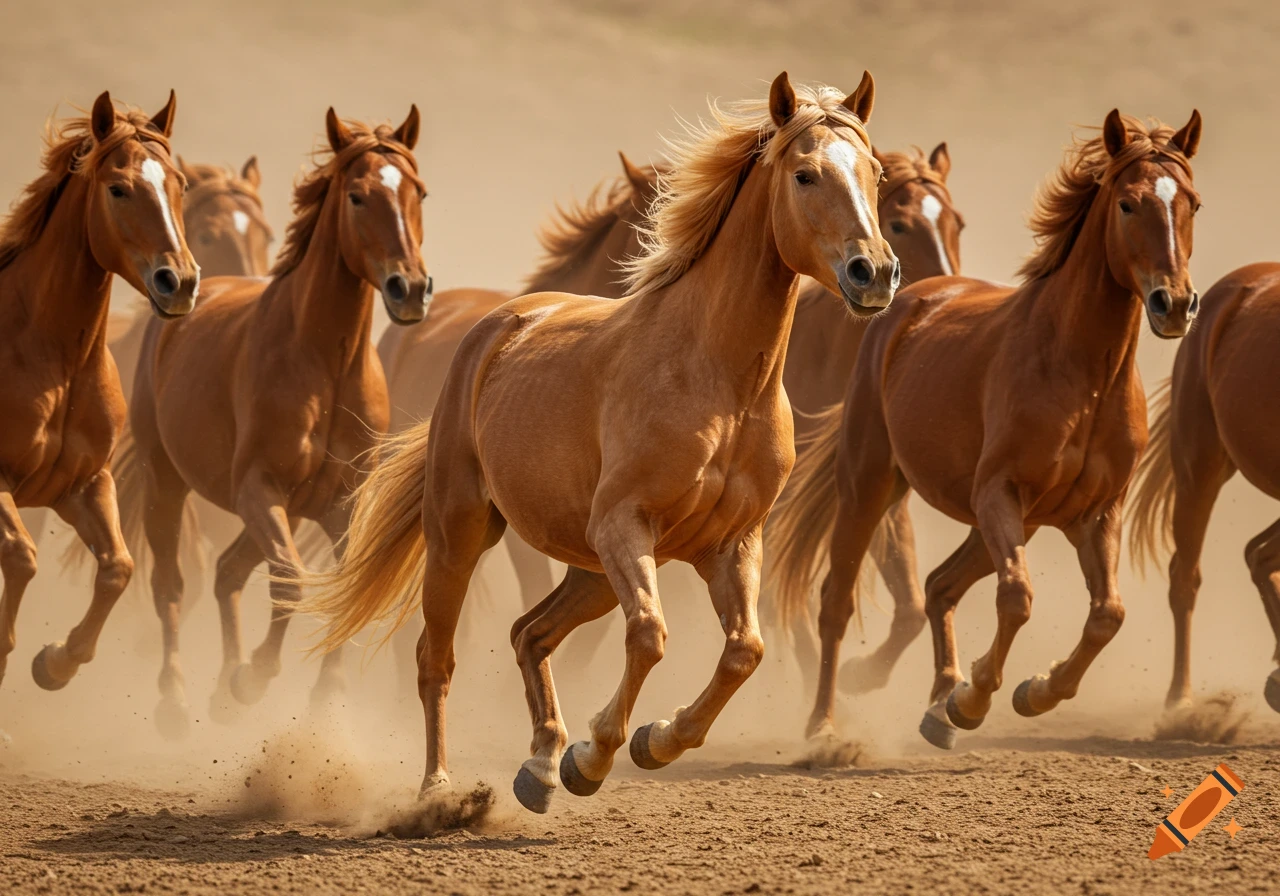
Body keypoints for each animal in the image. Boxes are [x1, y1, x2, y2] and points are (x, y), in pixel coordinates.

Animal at [0, 91, 199, 722]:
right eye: (118, 188)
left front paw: (55, 663)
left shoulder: (84, 485)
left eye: (180, 184)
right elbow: (21, 557)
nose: (179, 281)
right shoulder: (0, 484)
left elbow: (117, 568)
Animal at [121, 107, 429, 738]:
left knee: (227, 572)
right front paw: (255, 678)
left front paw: (324, 694)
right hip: (169, 482)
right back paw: (177, 700)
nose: (409, 288)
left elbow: (338, 584)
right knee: (172, 584)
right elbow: (290, 579)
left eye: (419, 193)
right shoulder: (261, 489)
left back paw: (220, 689)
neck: (323, 364)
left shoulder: (338, 502)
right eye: (358, 196)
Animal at [297, 71, 897, 813]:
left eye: (874, 173)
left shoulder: (731, 543)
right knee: (436, 659)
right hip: (463, 532)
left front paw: (649, 741)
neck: (720, 382)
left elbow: (743, 652)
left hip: (590, 571)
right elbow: (651, 637)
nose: (874, 273)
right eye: (805, 174)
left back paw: (538, 766)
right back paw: (439, 792)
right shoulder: (624, 527)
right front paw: (597, 754)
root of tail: (497, 324)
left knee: (529, 634)